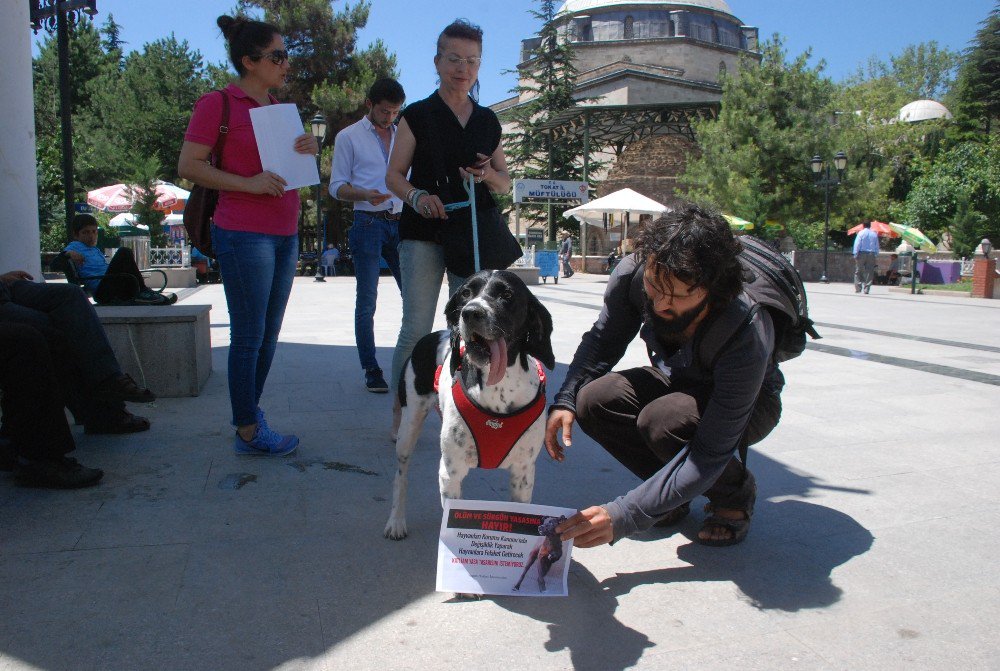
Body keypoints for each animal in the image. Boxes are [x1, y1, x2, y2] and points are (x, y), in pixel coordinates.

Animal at [382, 270, 556, 540]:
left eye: (507, 294)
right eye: (466, 293)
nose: (471, 312)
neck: (498, 389)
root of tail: (431, 336)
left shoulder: (523, 473)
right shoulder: (450, 472)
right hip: (408, 430)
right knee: (401, 477)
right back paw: (396, 521)